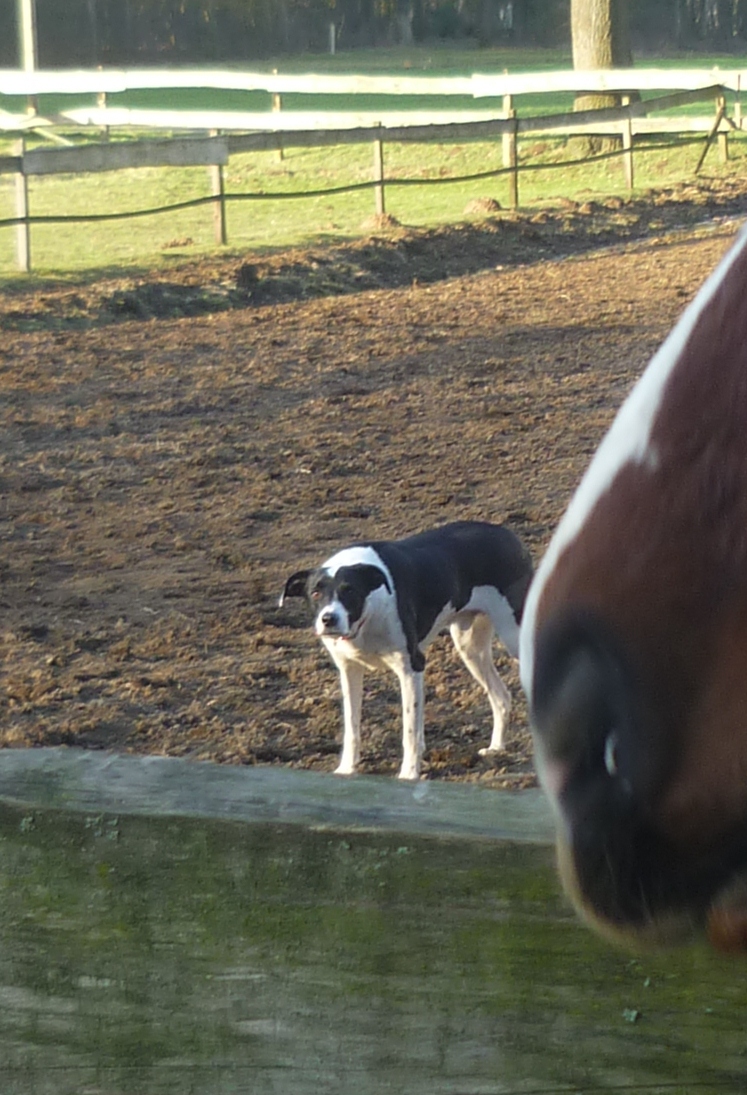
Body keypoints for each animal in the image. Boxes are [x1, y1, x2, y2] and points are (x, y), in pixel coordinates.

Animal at [278, 519, 530, 779]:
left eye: (350, 591)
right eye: (315, 593)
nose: (328, 619)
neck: (368, 613)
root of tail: (508, 535)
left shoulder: (411, 668)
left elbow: (410, 732)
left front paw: (409, 775)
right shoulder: (349, 670)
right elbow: (352, 726)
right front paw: (347, 768)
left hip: (515, 638)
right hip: (469, 646)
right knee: (501, 697)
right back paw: (496, 748)